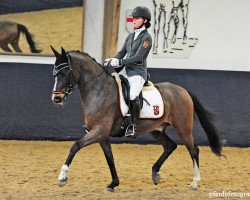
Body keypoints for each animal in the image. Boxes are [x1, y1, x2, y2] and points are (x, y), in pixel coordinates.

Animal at [50, 46, 223, 191]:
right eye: (54, 73)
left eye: (64, 73)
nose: (56, 98)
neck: (98, 90)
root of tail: (182, 90)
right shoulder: (102, 136)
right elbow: (110, 159)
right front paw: (113, 184)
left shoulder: (99, 131)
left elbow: (75, 146)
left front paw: (62, 177)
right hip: (156, 130)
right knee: (170, 146)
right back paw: (155, 174)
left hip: (183, 128)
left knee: (193, 150)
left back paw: (195, 182)